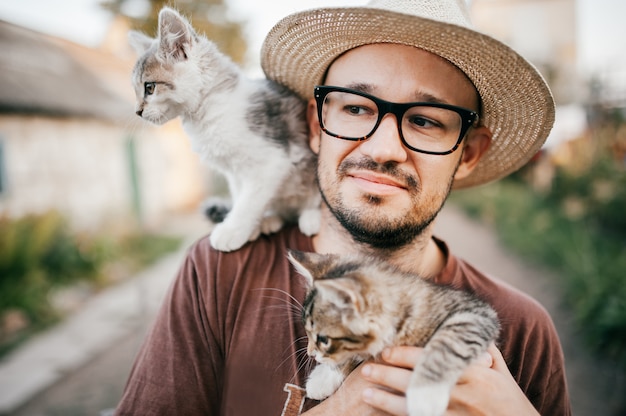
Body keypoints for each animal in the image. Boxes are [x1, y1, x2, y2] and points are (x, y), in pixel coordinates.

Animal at [129, 8, 320, 252]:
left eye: (149, 87)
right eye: (136, 90)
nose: (137, 112)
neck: (205, 113)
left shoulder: (272, 161)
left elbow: (249, 201)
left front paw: (232, 230)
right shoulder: (234, 171)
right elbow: (241, 196)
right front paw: (250, 227)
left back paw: (311, 217)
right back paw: (271, 219)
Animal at [288, 250, 498, 416]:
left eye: (323, 339)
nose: (310, 353)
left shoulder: (478, 315)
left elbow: (447, 347)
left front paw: (425, 396)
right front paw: (323, 378)